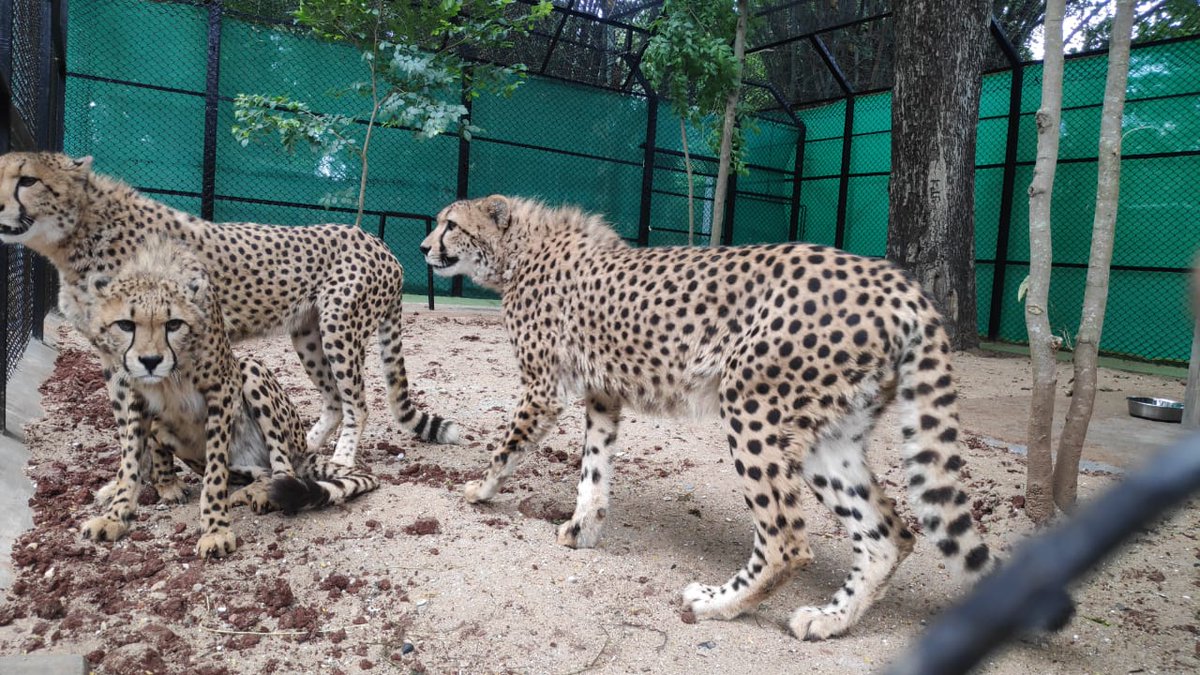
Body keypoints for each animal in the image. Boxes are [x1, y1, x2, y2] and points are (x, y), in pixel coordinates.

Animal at [0, 152, 459, 475]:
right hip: (307, 334)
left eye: (28, 180)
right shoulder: (116, 351)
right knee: (332, 400)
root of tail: (381, 245)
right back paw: (305, 445)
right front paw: (132, 484)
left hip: (338, 327)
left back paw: (341, 459)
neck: (77, 236)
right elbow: (128, 424)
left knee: (356, 403)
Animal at [77, 238, 379, 557]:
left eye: (173, 324)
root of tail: (304, 452)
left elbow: (214, 473)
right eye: (126, 324)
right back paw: (248, 490)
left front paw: (215, 531)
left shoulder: (221, 390)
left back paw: (268, 494)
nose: (150, 361)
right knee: (261, 471)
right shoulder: (136, 397)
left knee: (282, 468)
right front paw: (115, 515)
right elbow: (130, 462)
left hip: (251, 369)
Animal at [421, 194, 1009, 640]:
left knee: (786, 541)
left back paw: (717, 603)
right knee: (889, 535)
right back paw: (829, 620)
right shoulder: (603, 395)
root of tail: (895, 280)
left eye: (450, 223)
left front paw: (480, 490)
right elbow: (594, 468)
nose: (425, 247)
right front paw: (582, 527)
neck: (518, 251)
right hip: (831, 439)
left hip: (751, 405)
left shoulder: (543, 390)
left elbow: (507, 446)